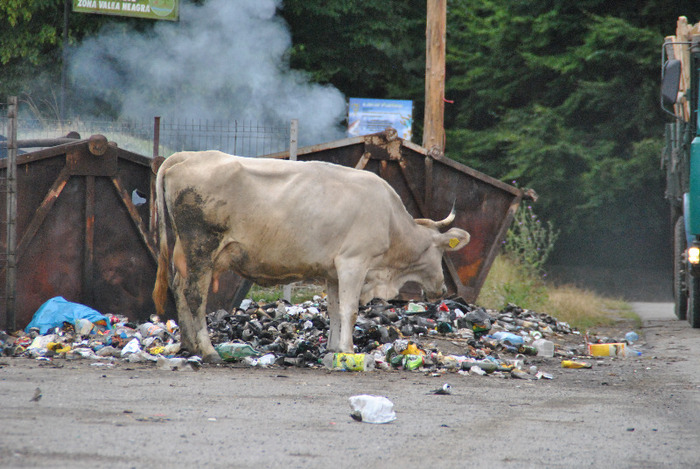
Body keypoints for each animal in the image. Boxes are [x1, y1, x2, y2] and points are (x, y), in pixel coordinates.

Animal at [152, 151, 470, 362]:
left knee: (179, 289)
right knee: (195, 295)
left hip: (185, 250)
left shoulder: (333, 270)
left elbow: (335, 309)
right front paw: (348, 350)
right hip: (201, 247)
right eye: (441, 252)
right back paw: (206, 350)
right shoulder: (354, 262)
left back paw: (188, 345)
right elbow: (350, 309)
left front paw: (333, 349)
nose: (442, 289)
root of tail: (187, 156)